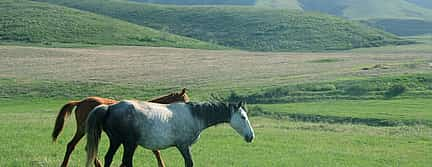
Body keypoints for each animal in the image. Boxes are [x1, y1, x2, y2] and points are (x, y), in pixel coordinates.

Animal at [51, 88, 190, 166]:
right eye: (185, 100)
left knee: (80, 146)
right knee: (74, 145)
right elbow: (156, 152)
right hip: (84, 129)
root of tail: (80, 102)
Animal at [85, 100, 253, 167]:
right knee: (126, 161)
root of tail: (110, 108)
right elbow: (189, 163)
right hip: (129, 144)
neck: (194, 115)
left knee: (109, 158)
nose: (251, 136)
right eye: (243, 117)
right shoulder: (184, 146)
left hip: (117, 141)